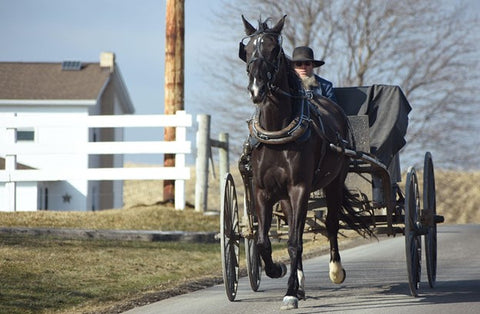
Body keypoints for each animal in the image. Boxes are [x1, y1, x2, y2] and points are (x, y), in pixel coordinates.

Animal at [240, 15, 372, 310]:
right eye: (248, 50)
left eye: (274, 49)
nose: (256, 88)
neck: (278, 131)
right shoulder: (262, 191)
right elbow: (264, 241)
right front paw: (278, 271)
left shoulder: (300, 187)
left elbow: (293, 242)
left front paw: (289, 292)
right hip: (286, 197)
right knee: (296, 230)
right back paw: (299, 282)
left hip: (333, 182)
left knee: (331, 224)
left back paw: (335, 271)